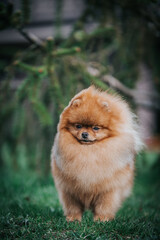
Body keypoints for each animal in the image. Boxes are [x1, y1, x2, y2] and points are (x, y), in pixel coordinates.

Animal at [50, 86, 142, 221]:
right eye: (78, 126)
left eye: (96, 128)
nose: (84, 134)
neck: (89, 151)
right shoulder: (69, 189)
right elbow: (73, 206)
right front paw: (73, 219)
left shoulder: (109, 190)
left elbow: (104, 206)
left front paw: (101, 220)